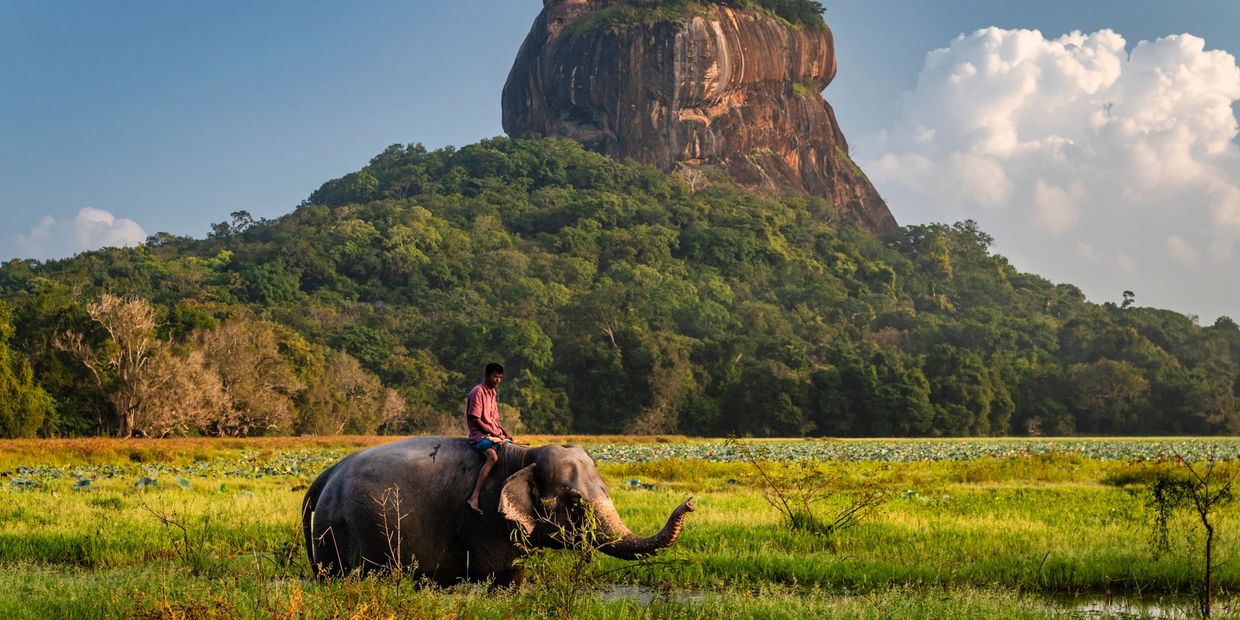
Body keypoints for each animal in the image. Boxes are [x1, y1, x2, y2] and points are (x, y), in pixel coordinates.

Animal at [301, 436, 695, 585]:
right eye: (575, 503)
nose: (690, 502)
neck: (523, 454)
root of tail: (325, 474)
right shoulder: (484, 521)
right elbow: (505, 573)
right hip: (334, 532)